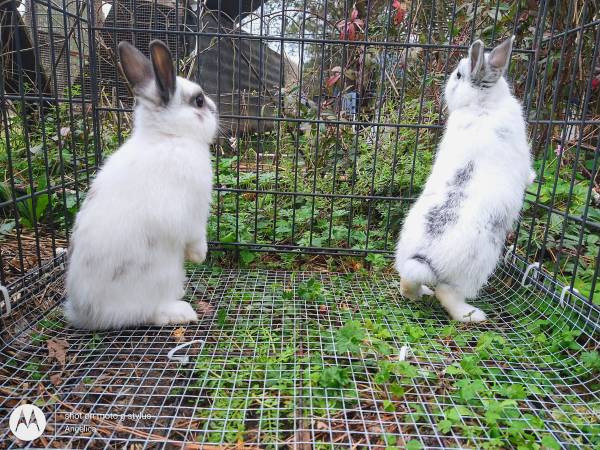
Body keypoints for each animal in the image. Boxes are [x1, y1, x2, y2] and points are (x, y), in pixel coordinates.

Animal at [64, 40, 219, 328]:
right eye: (199, 101)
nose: (215, 110)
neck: (168, 136)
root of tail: (86, 315)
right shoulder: (189, 211)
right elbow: (195, 234)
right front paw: (199, 255)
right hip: (161, 274)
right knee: (147, 313)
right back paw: (180, 312)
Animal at [396, 37, 532, 322]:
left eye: (458, 74)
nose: (446, 85)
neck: (480, 106)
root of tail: (423, 258)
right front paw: (532, 180)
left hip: (410, 267)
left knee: (408, 285)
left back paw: (421, 292)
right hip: (475, 270)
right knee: (447, 294)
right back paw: (473, 315)